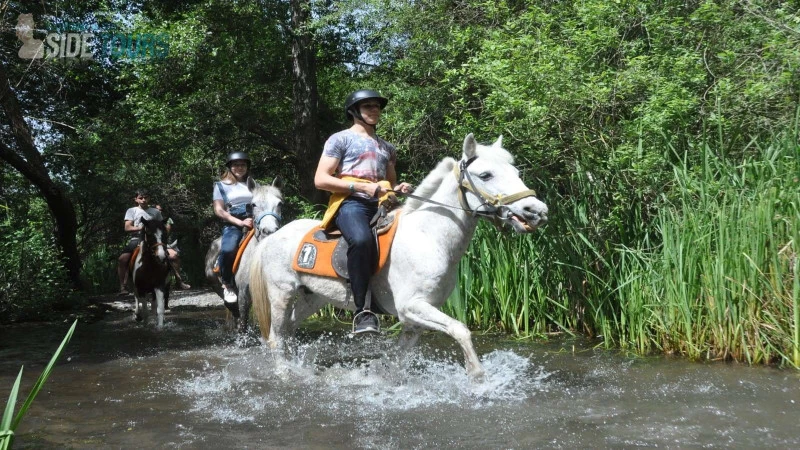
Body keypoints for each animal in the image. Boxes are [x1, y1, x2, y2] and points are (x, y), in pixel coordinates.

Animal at [203, 178, 284, 332]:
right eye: (253, 204)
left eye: (280, 203)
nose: (269, 231)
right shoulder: (243, 294)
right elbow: (243, 322)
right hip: (218, 286)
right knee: (232, 308)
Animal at [250, 134, 552, 380]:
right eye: (486, 175)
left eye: (515, 171)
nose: (537, 211)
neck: (429, 238)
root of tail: (273, 235)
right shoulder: (412, 306)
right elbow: (461, 330)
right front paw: (478, 378)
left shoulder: (415, 319)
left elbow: (398, 359)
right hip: (281, 293)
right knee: (276, 337)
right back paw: (284, 375)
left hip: (312, 298)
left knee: (288, 331)